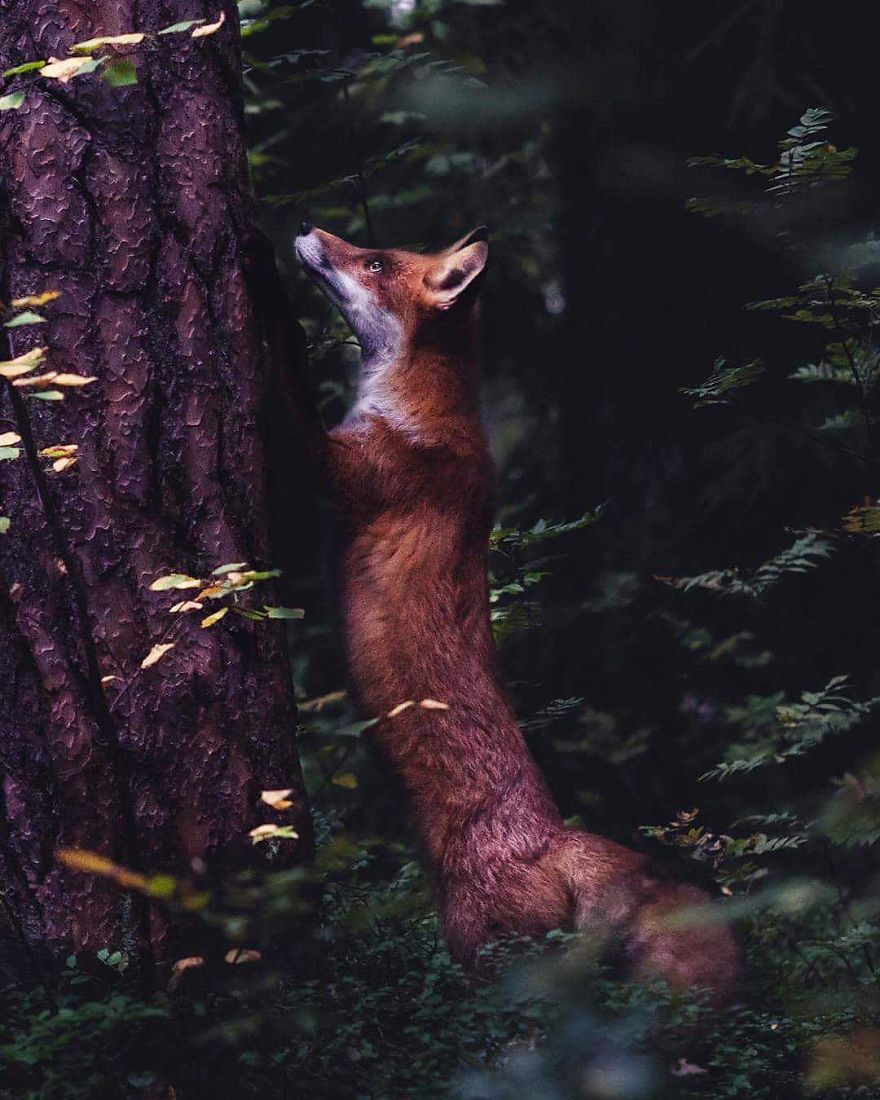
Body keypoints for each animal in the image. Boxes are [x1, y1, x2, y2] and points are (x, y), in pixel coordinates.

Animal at [294, 221, 734, 998]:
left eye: (373, 262)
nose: (310, 231)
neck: (417, 409)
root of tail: (554, 839)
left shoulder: (359, 474)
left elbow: (294, 420)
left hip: (482, 956)